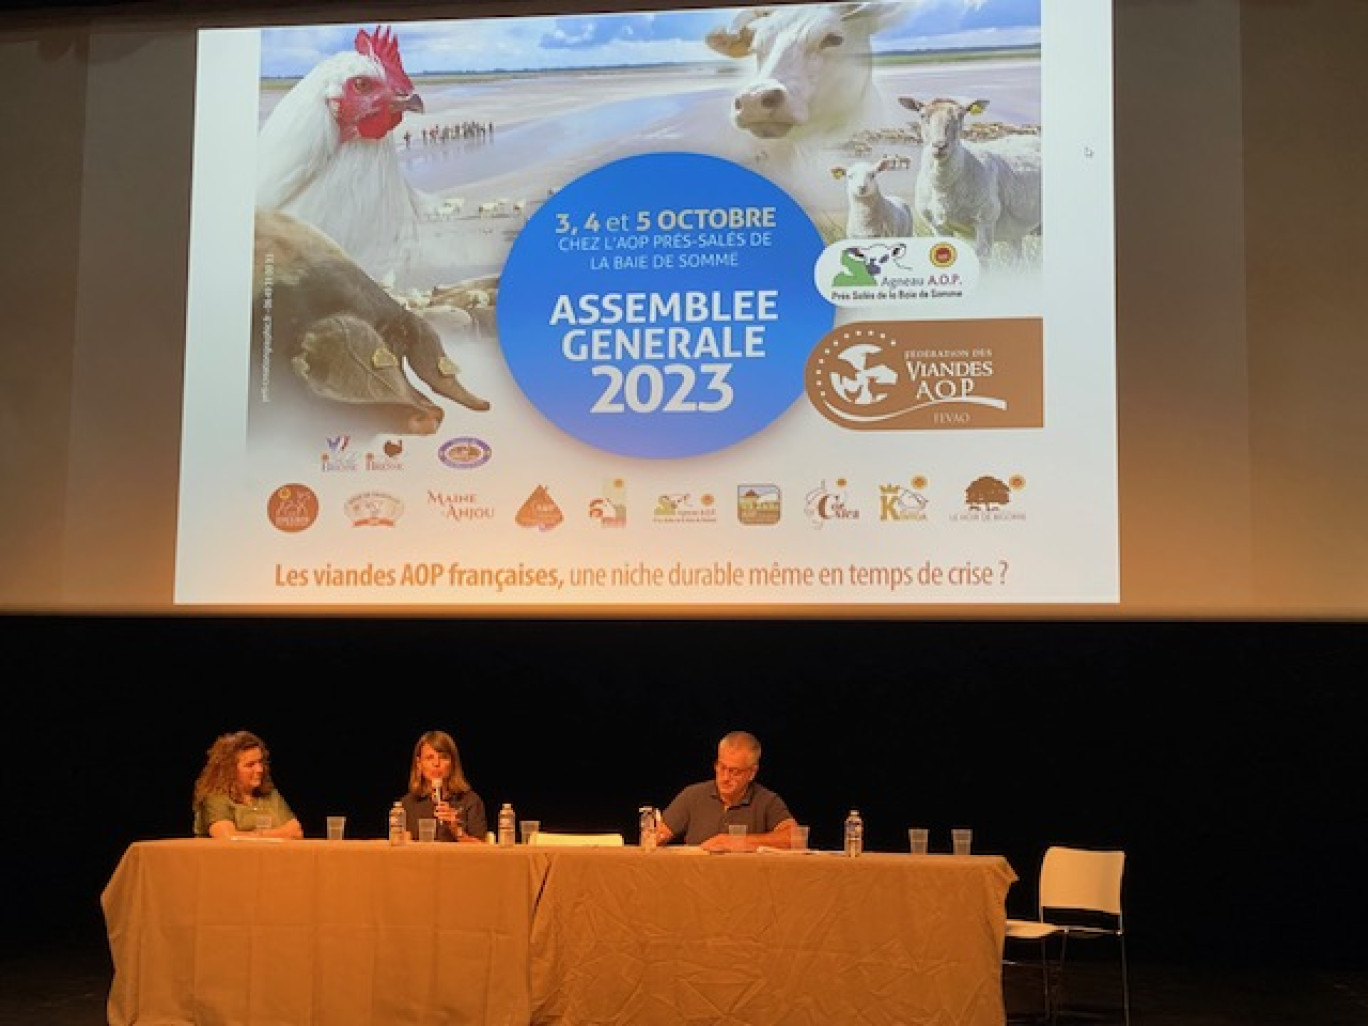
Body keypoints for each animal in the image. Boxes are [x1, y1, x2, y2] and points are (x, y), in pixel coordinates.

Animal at [902, 97, 1039, 265]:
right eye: (922, 115)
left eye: (961, 116)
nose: (940, 145)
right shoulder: (937, 225)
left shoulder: (985, 221)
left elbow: (981, 259)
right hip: (1015, 229)